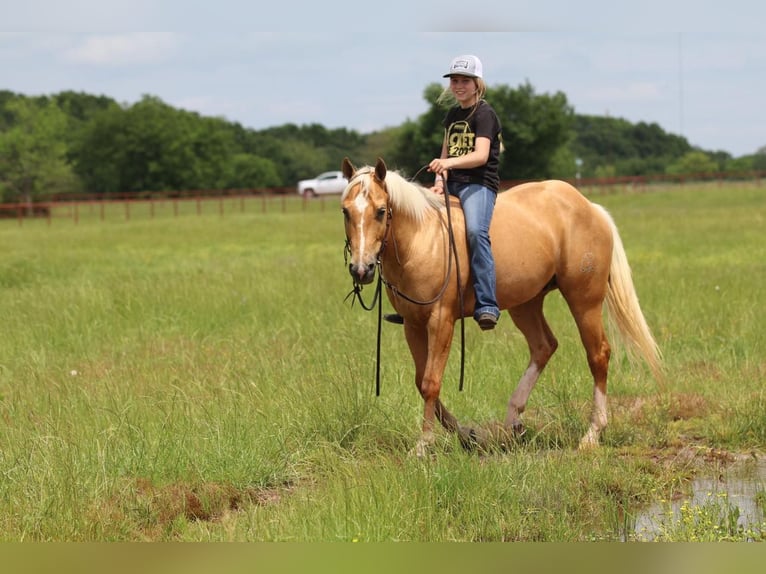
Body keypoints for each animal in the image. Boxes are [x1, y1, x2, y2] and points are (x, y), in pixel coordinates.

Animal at [340, 159, 664, 460]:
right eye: (345, 211)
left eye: (381, 211)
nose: (361, 269)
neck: (423, 239)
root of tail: (590, 208)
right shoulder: (412, 324)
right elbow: (422, 381)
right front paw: (466, 434)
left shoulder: (441, 321)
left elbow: (431, 382)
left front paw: (423, 445)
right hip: (526, 304)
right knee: (544, 346)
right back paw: (514, 422)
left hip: (584, 301)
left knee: (598, 354)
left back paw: (592, 433)